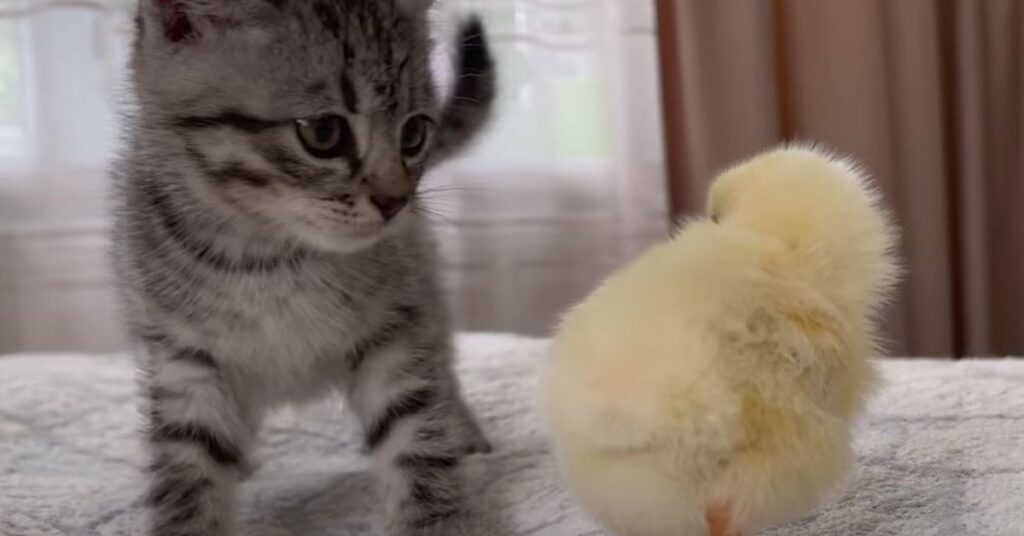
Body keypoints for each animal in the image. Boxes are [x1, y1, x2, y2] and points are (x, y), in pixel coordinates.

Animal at [112, 2, 495, 532]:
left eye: (414, 133)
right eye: (324, 133)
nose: (396, 201)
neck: (269, 258)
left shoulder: (396, 330)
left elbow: (415, 433)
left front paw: (436, 520)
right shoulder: (183, 356)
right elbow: (189, 470)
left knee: (442, 364)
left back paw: (463, 427)